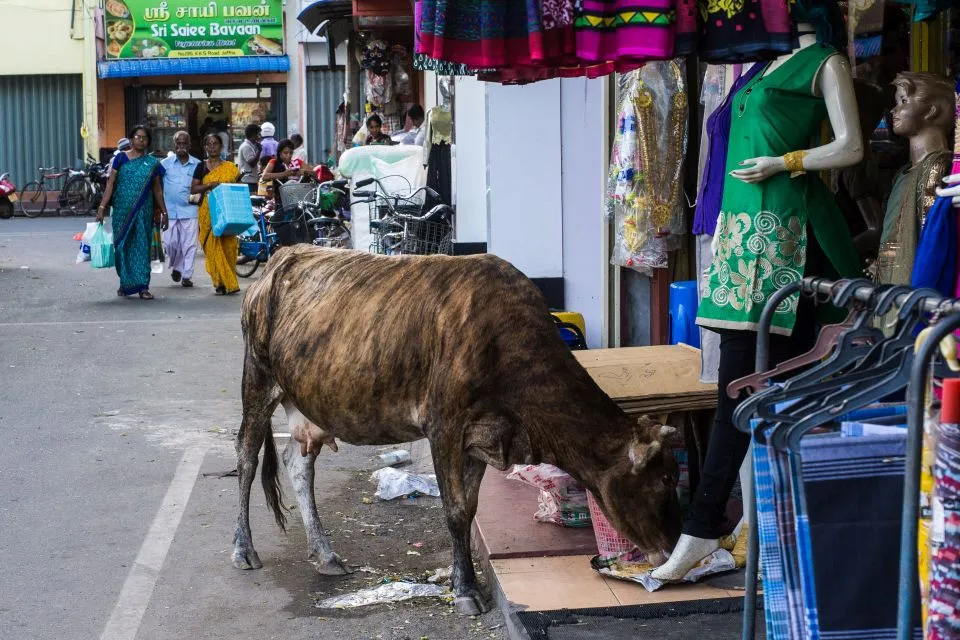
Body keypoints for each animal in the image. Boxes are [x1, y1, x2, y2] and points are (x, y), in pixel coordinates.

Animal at [232, 246, 684, 616]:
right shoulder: (445, 426)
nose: (673, 546)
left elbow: (468, 509)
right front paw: (466, 591)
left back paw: (325, 555)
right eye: (665, 478)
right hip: (257, 377)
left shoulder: (483, 440)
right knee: (247, 455)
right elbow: (453, 511)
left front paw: (460, 580)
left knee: (297, 463)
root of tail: (281, 257)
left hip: (304, 400)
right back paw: (244, 549)